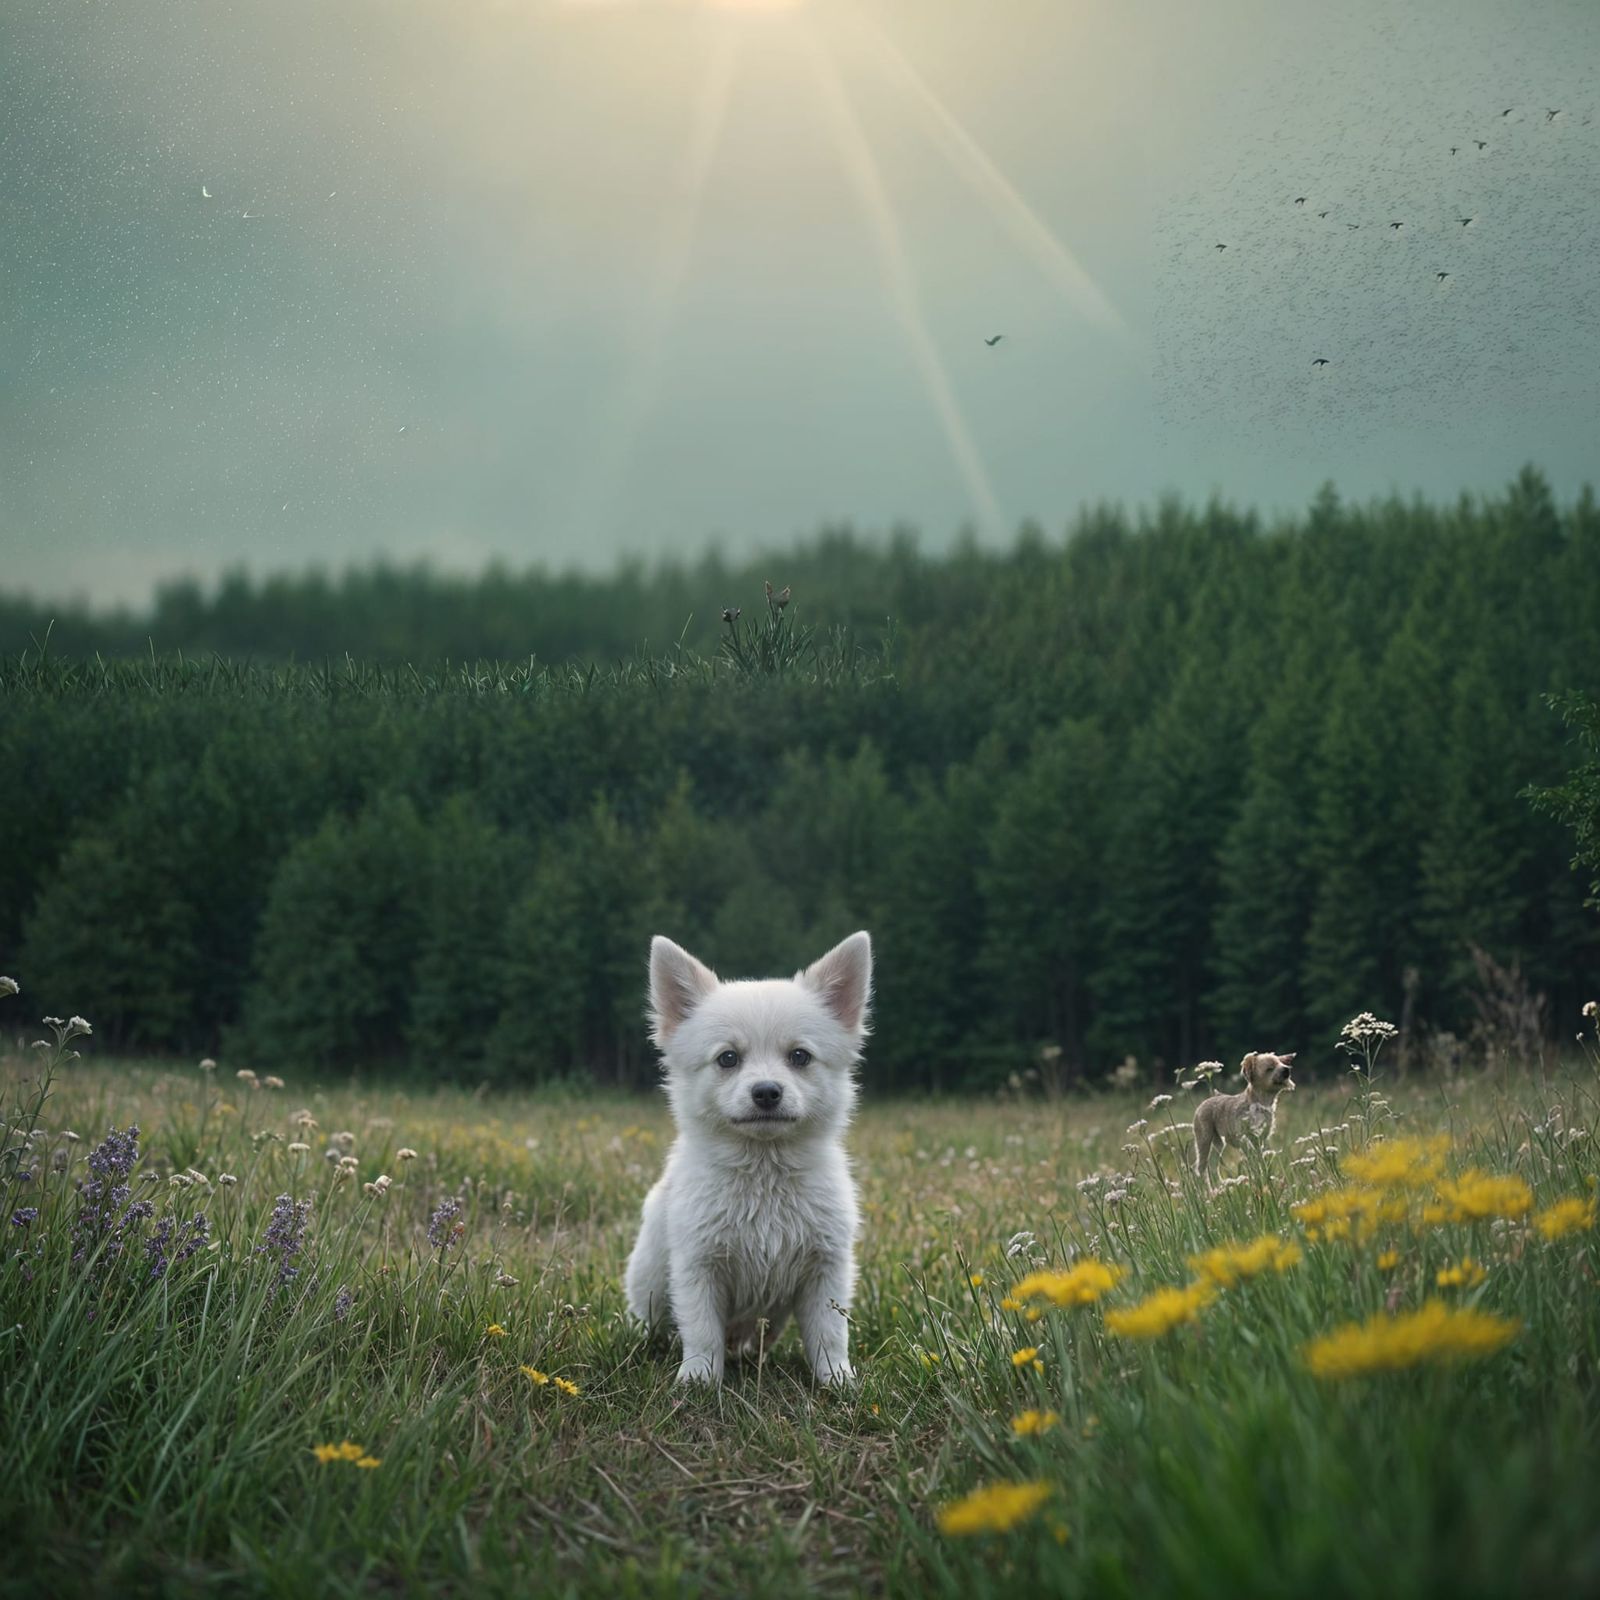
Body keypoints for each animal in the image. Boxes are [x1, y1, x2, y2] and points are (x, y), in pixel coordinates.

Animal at [624, 934, 876, 1382]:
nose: (766, 1092)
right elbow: (701, 1331)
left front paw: (838, 1380)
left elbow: (830, 1333)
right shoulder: (698, 1268)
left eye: (799, 1056)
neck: (764, 1172)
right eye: (728, 1058)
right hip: (649, 1286)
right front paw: (699, 1380)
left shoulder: (827, 1270)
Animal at [1196, 1056, 1292, 1184]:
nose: (1287, 1069)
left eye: (1281, 1063)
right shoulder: (1244, 1138)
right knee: (1201, 1166)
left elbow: (1260, 1158)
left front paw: (1265, 1176)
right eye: (1269, 1068)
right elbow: (1252, 1160)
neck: (1259, 1104)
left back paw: (1221, 1184)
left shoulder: (1260, 1139)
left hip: (1219, 1142)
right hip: (1204, 1138)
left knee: (1212, 1164)